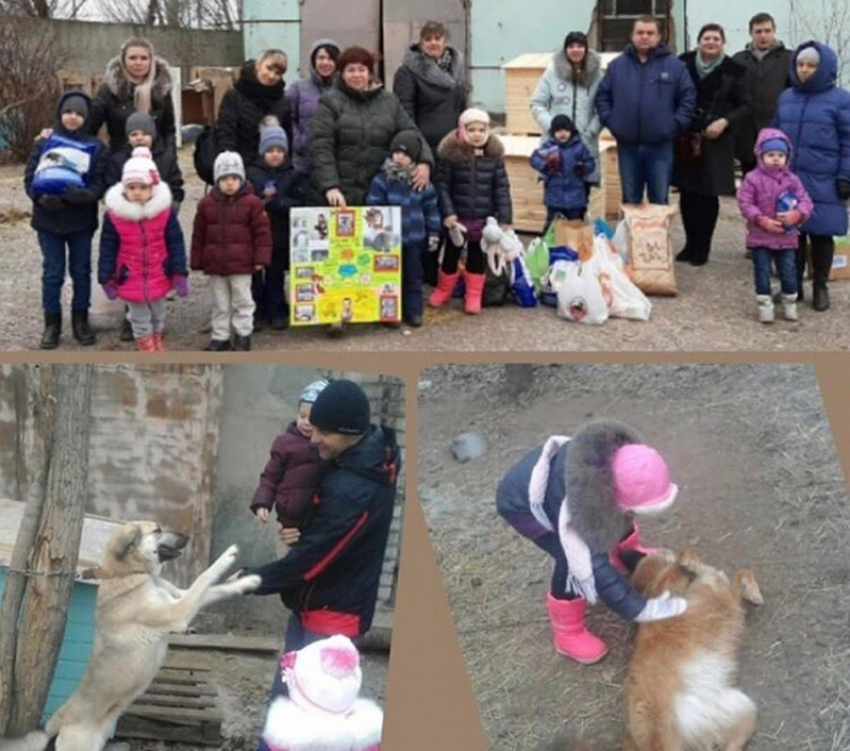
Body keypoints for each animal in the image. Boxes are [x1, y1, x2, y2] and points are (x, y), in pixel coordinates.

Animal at [0, 524, 258, 751]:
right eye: (157, 530)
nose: (187, 536)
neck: (130, 573)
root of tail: (53, 723)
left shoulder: (180, 598)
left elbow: (214, 589)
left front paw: (247, 582)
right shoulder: (178, 612)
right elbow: (204, 577)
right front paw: (227, 556)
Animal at [620, 548, 764, 751]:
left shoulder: (731, 600)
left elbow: (743, 572)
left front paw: (752, 592)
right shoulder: (663, 593)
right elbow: (676, 566)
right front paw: (687, 560)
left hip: (744, 707)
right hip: (665, 734)